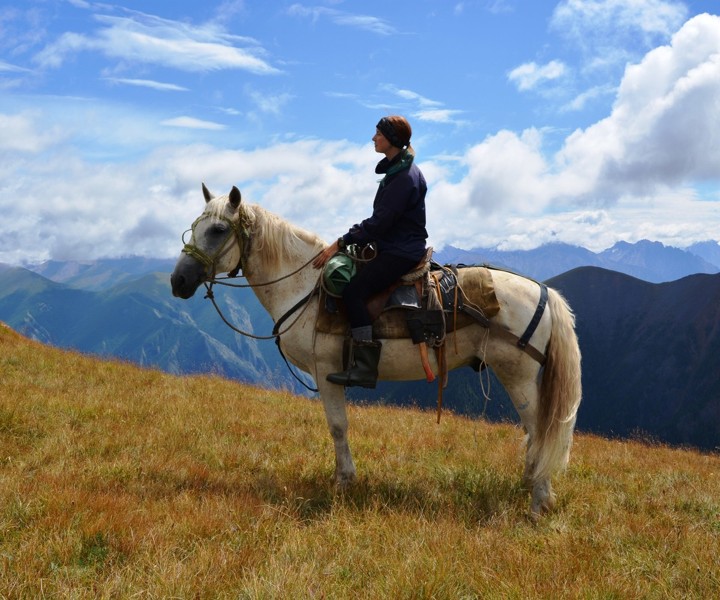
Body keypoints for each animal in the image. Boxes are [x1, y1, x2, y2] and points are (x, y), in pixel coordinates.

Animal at [172, 185, 584, 516]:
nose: (178, 280)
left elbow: (337, 426)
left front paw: (344, 481)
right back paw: (531, 484)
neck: (305, 287)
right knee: (534, 432)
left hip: (517, 374)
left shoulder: (326, 372)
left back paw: (538, 501)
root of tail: (544, 292)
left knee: (540, 430)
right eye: (194, 226)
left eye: (218, 230)